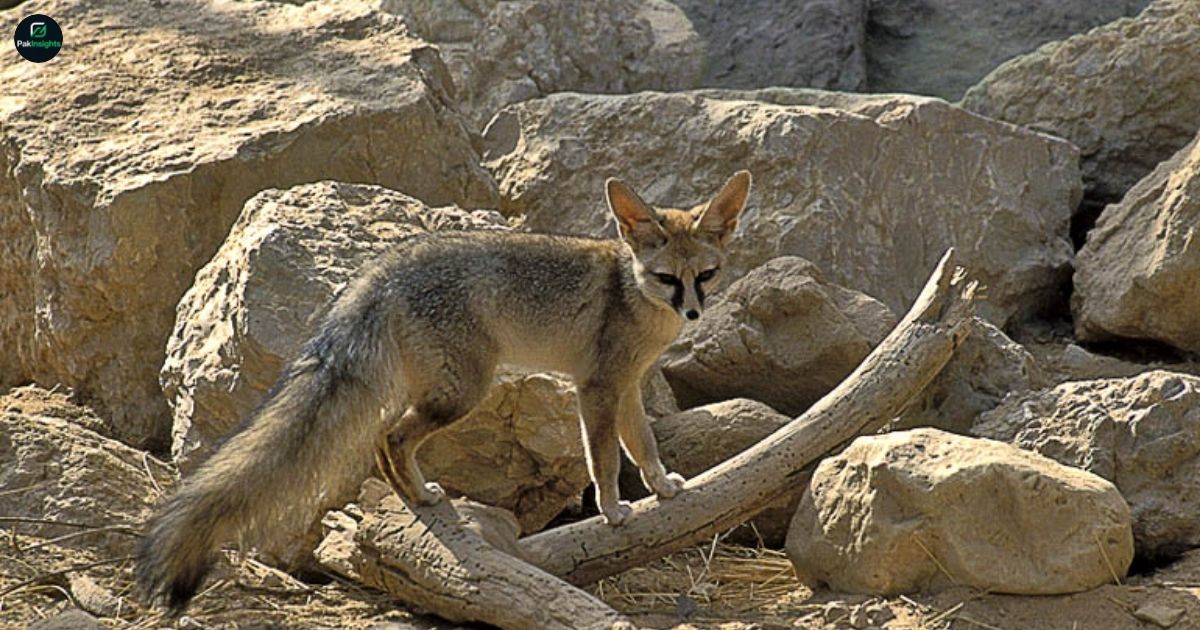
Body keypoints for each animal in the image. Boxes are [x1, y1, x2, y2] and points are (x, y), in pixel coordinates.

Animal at [135, 170, 752, 612]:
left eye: (706, 276)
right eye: (667, 279)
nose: (693, 315)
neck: (633, 294)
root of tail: (387, 266)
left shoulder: (626, 388)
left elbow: (642, 445)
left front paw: (664, 489)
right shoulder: (597, 387)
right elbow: (604, 457)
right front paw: (613, 511)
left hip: (442, 390)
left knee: (383, 440)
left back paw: (414, 500)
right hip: (464, 393)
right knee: (389, 437)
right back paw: (423, 497)